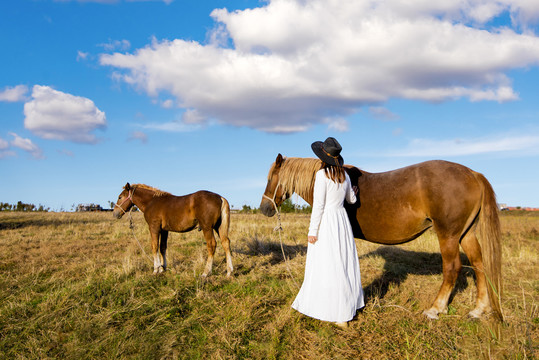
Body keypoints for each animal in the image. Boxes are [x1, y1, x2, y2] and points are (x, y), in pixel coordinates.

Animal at [260, 155, 504, 320]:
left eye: (272, 178)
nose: (265, 208)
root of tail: (473, 174)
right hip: (466, 233)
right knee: (479, 265)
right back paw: (478, 309)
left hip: (449, 235)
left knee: (452, 268)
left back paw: (435, 308)